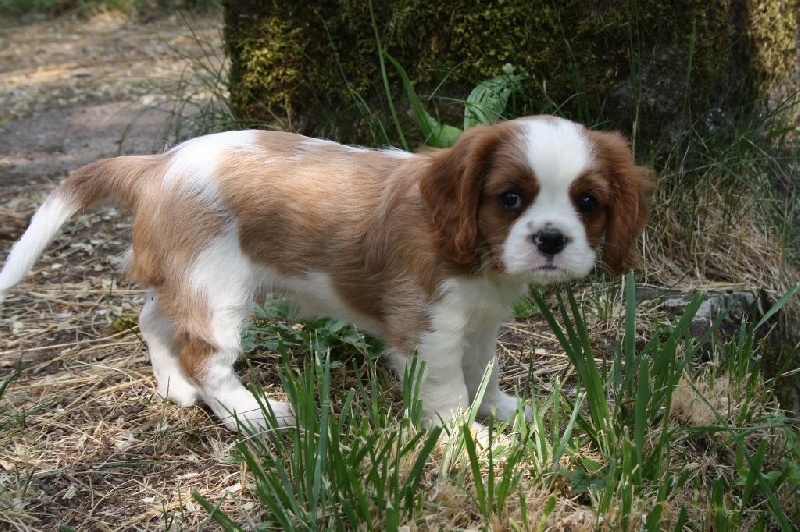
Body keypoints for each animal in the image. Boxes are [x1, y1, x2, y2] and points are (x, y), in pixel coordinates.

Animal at [0, 116, 651, 430]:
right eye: (510, 199)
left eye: (588, 203)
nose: (551, 239)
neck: (476, 255)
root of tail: (159, 164)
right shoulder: (427, 329)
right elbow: (445, 391)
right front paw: (469, 440)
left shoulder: (479, 324)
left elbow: (482, 371)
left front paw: (499, 411)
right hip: (217, 288)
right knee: (204, 353)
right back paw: (250, 417)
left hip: (188, 278)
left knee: (153, 319)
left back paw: (174, 389)